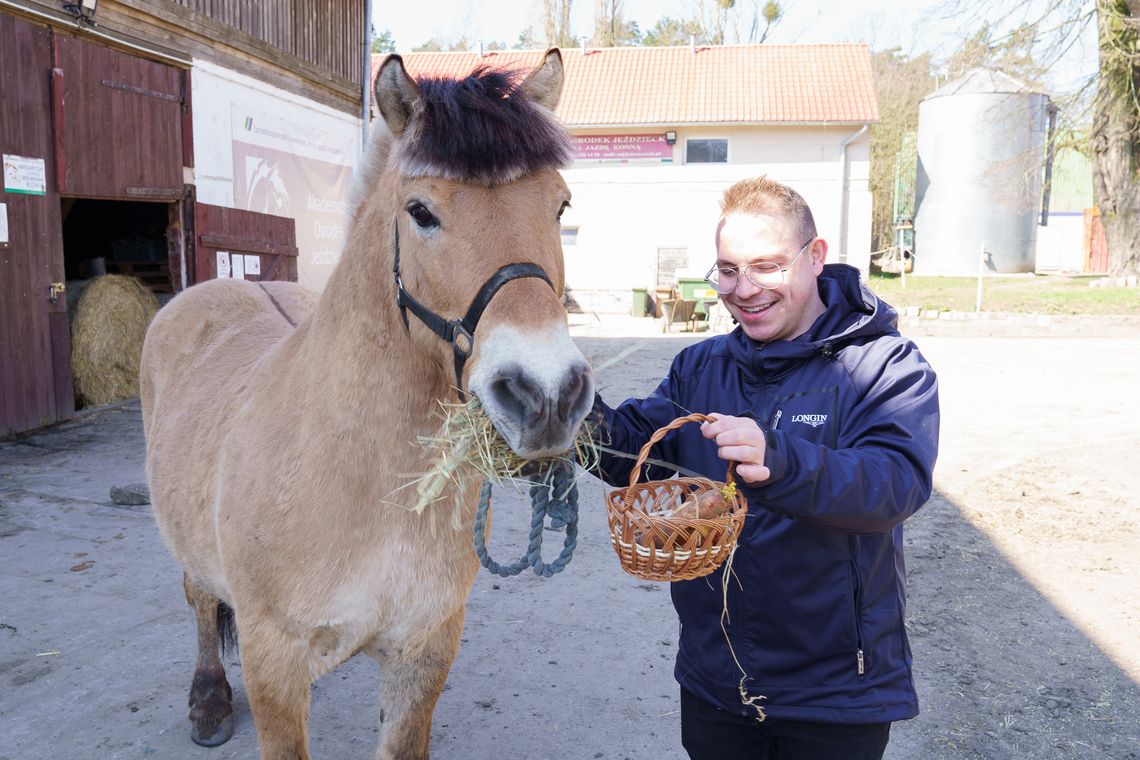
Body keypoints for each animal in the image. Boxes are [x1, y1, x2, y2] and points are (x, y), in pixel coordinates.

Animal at [137, 48, 592, 760]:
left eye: (560, 205)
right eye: (421, 211)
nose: (546, 394)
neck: (364, 476)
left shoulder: (424, 651)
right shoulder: (273, 663)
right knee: (200, 597)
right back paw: (208, 696)